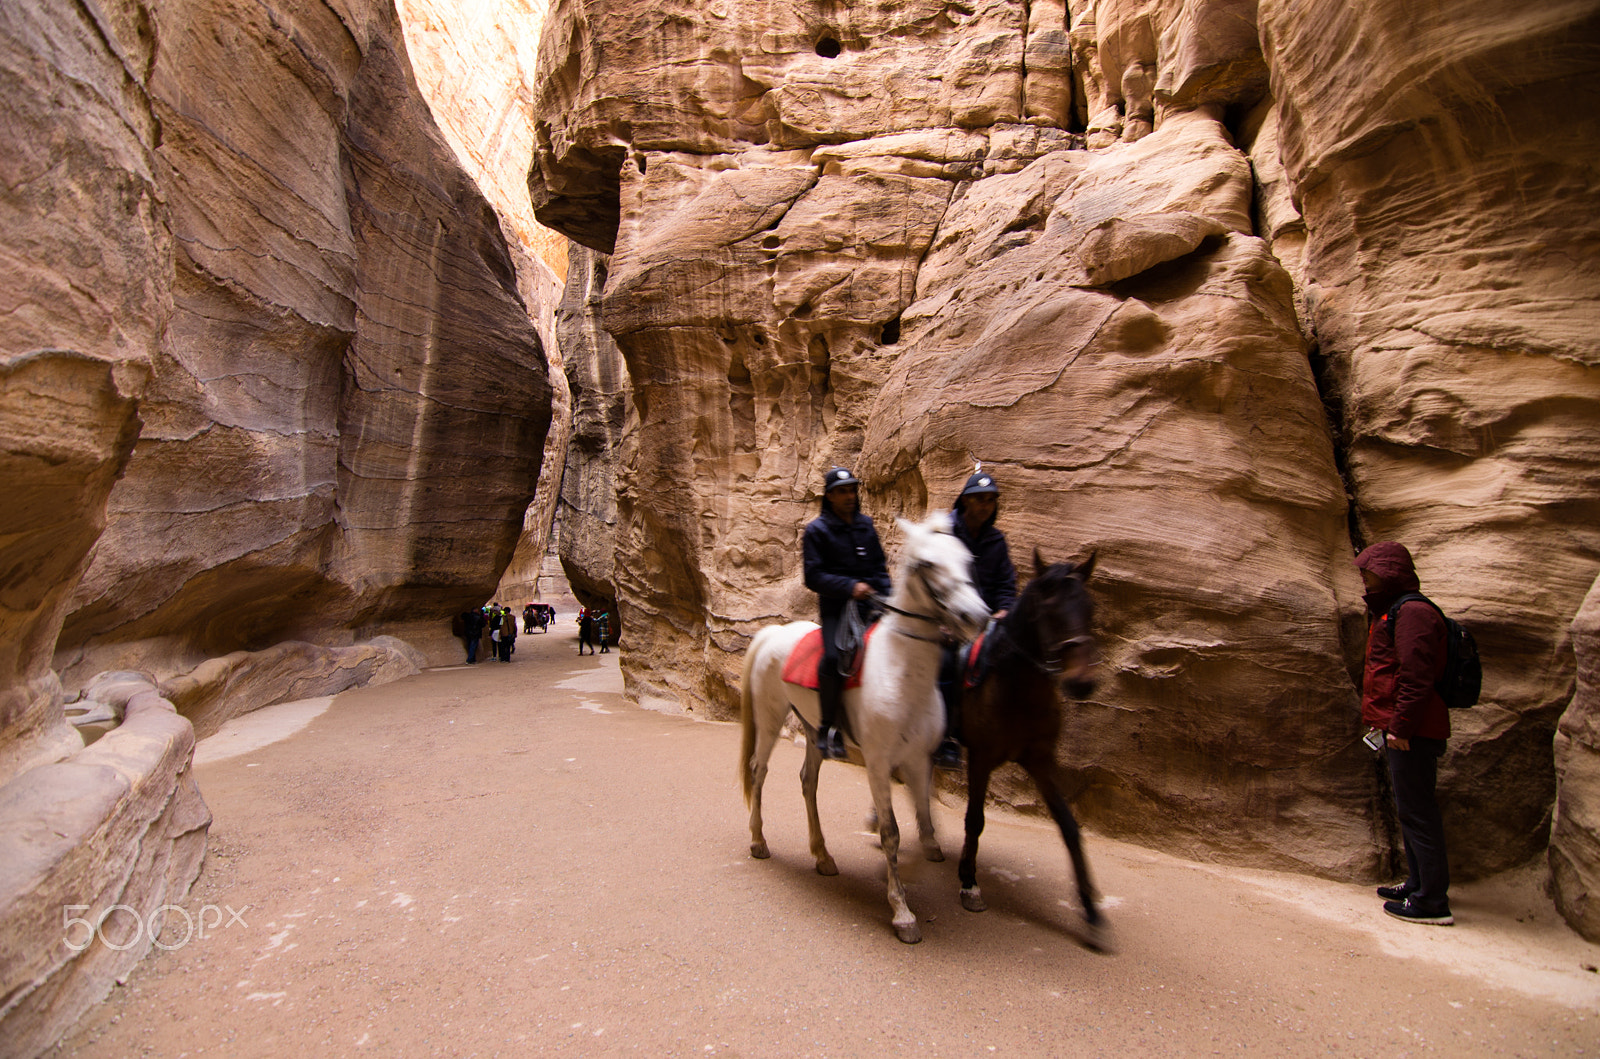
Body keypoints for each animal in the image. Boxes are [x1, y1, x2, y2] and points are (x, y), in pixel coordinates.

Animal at [736, 515, 985, 947]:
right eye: (928, 563)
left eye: (967, 559)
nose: (976, 615)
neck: (904, 674)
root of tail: (773, 633)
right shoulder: (878, 764)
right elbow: (892, 833)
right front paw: (902, 912)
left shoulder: (919, 761)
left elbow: (925, 822)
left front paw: (928, 868)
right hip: (769, 720)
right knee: (759, 772)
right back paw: (759, 841)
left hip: (813, 730)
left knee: (808, 781)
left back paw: (822, 856)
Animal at [953, 550, 1107, 947]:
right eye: (1048, 610)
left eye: (1090, 607)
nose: (1082, 683)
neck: (1017, 689)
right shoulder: (981, 758)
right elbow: (975, 819)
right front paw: (969, 881)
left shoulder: (1040, 760)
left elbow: (1069, 827)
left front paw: (1092, 912)